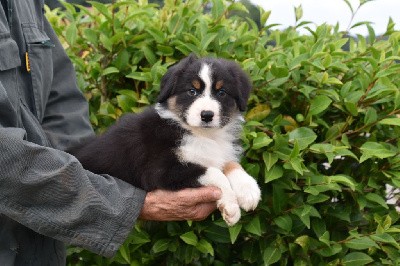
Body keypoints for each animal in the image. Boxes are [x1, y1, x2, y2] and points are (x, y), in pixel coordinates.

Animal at [69, 54, 260, 227]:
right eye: (192, 91)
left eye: (221, 93)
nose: (207, 115)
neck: (202, 135)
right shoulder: (160, 170)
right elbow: (214, 172)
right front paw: (231, 208)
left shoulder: (218, 153)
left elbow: (231, 164)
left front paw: (249, 190)